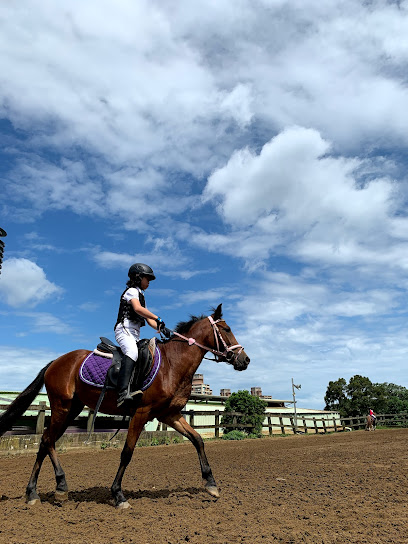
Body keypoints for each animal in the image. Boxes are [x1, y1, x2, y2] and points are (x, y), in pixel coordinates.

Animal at [0, 304, 249, 508]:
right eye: (227, 329)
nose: (245, 360)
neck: (173, 363)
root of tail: (56, 362)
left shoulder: (169, 414)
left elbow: (197, 440)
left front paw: (211, 483)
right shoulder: (141, 413)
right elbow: (127, 453)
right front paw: (118, 494)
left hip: (71, 409)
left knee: (45, 441)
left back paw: (35, 492)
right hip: (62, 407)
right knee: (47, 440)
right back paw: (57, 487)